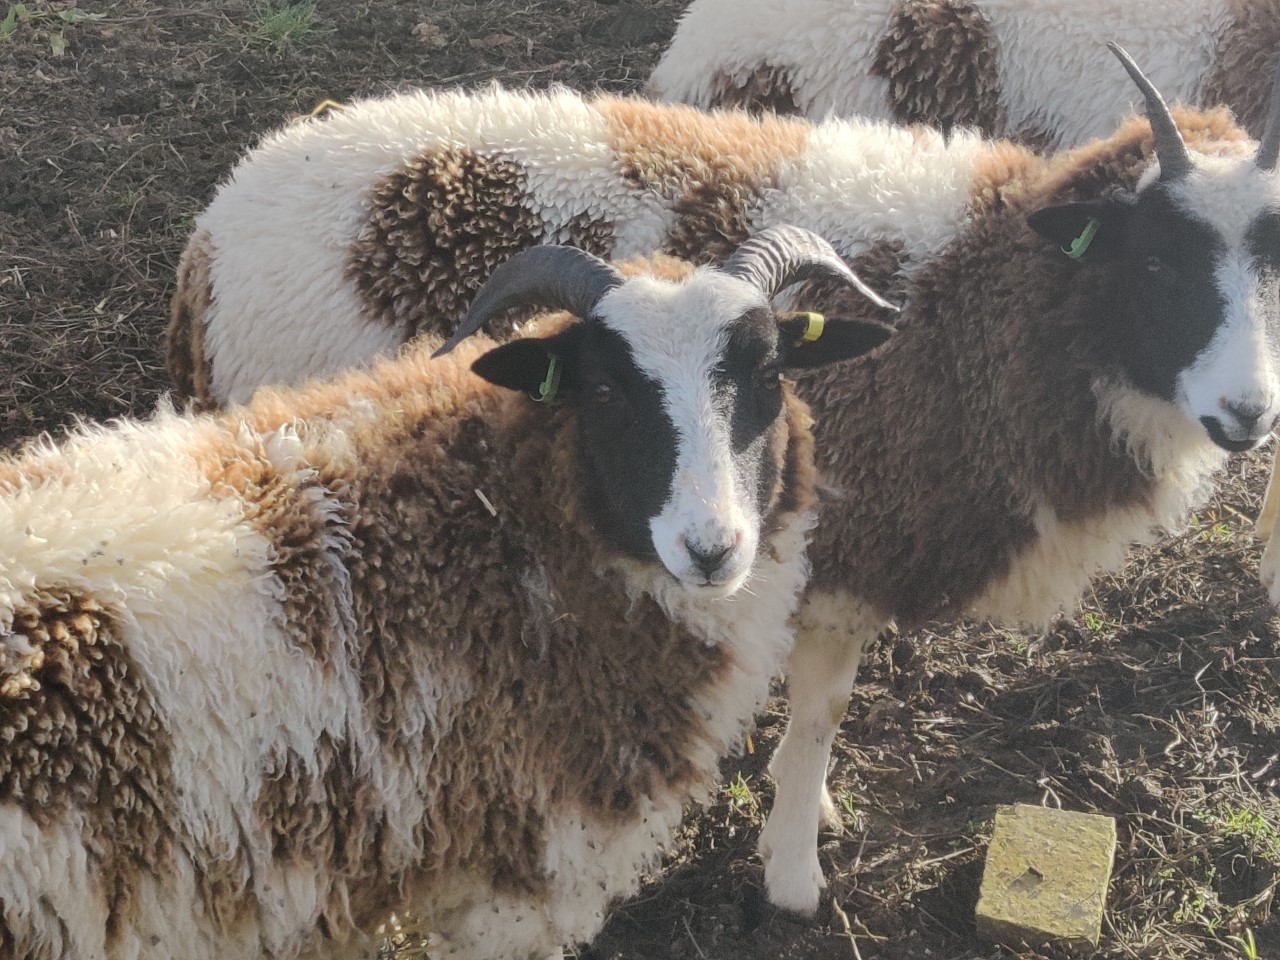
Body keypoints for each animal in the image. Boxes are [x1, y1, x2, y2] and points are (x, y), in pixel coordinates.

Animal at [162, 47, 1280, 916]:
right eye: (1156, 264)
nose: (1250, 415)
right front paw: (793, 867)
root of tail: (215, 230)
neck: (990, 308)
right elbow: (820, 718)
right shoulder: (838, 562)